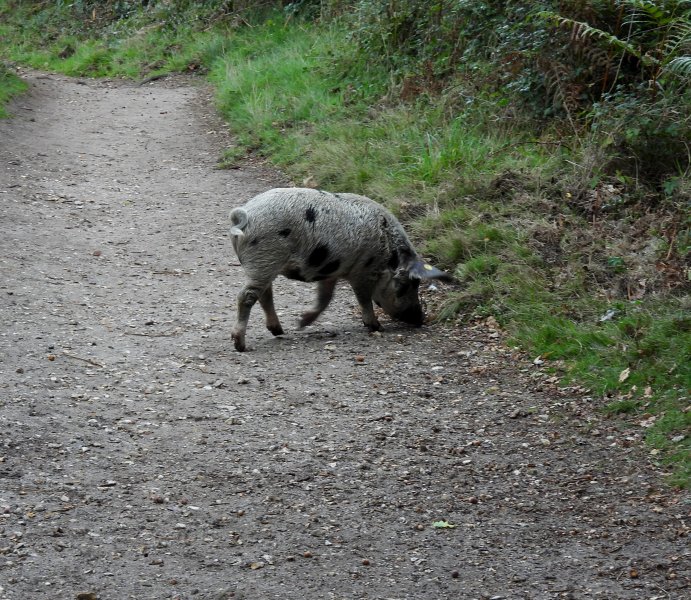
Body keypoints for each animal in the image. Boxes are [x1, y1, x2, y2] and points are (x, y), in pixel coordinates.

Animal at [229, 187, 450, 351]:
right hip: (265, 258)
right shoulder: (362, 271)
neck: (387, 254)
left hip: (265, 265)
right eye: (406, 285)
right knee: (246, 296)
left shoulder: (330, 270)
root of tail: (245, 215)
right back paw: (240, 345)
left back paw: (280, 331)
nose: (420, 318)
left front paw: (301, 323)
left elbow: (325, 298)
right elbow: (363, 299)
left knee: (265, 295)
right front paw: (377, 327)